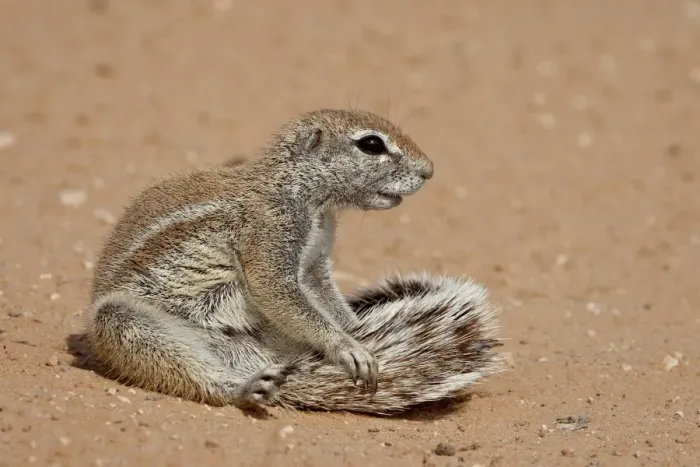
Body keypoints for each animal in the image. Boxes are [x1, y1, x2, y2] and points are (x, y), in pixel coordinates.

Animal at [87, 108, 503, 414]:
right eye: (371, 144)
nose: (429, 170)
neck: (307, 198)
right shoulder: (269, 232)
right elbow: (275, 289)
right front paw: (346, 347)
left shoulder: (316, 262)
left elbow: (325, 297)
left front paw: (356, 329)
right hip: (122, 322)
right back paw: (244, 389)